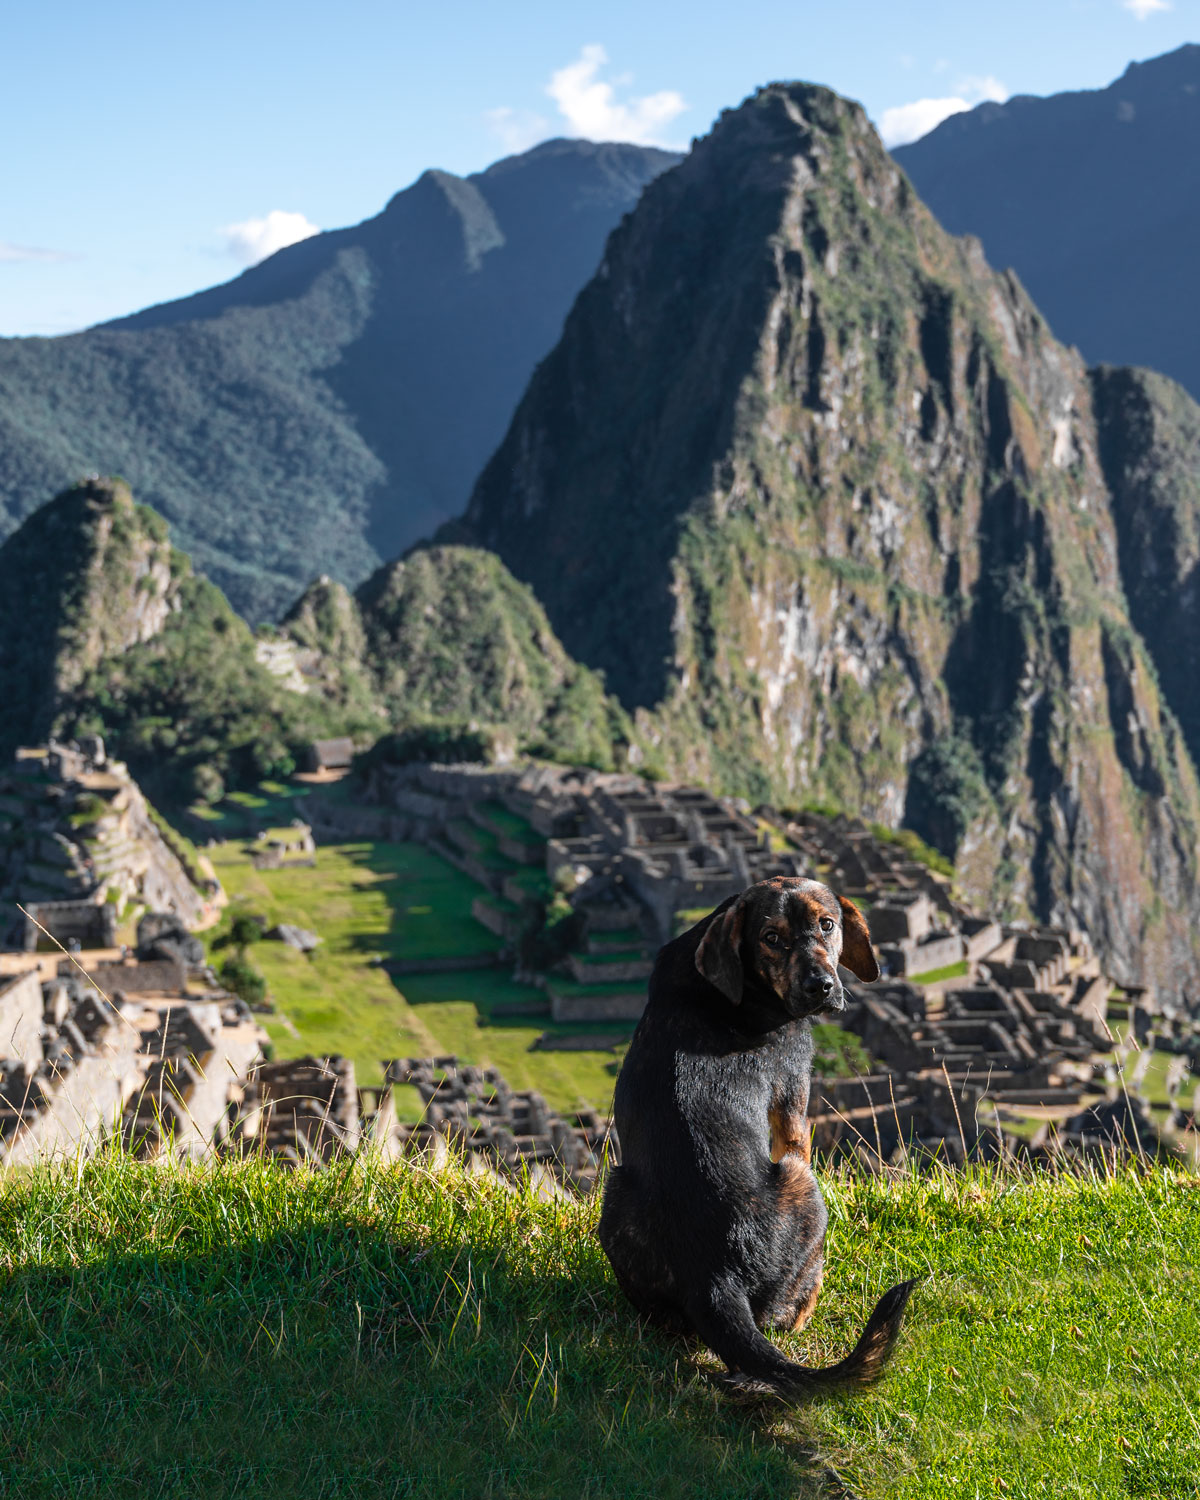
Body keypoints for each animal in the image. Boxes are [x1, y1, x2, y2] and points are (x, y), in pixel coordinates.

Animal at [600, 876, 912, 1398]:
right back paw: (808, 1304)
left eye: (828, 925)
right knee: (788, 1306)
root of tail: (713, 1277)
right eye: (771, 937)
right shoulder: (792, 1096)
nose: (821, 987)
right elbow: (797, 1134)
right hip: (802, 1186)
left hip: (616, 1192)